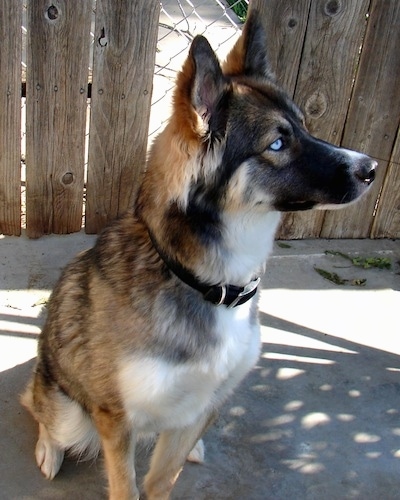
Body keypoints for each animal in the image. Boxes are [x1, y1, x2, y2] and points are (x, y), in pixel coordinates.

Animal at [21, 8, 376, 500]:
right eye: (277, 144)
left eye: (305, 126)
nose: (372, 168)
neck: (206, 283)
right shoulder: (117, 419)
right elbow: (128, 486)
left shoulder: (207, 402)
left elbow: (162, 480)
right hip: (69, 410)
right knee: (39, 409)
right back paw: (47, 449)